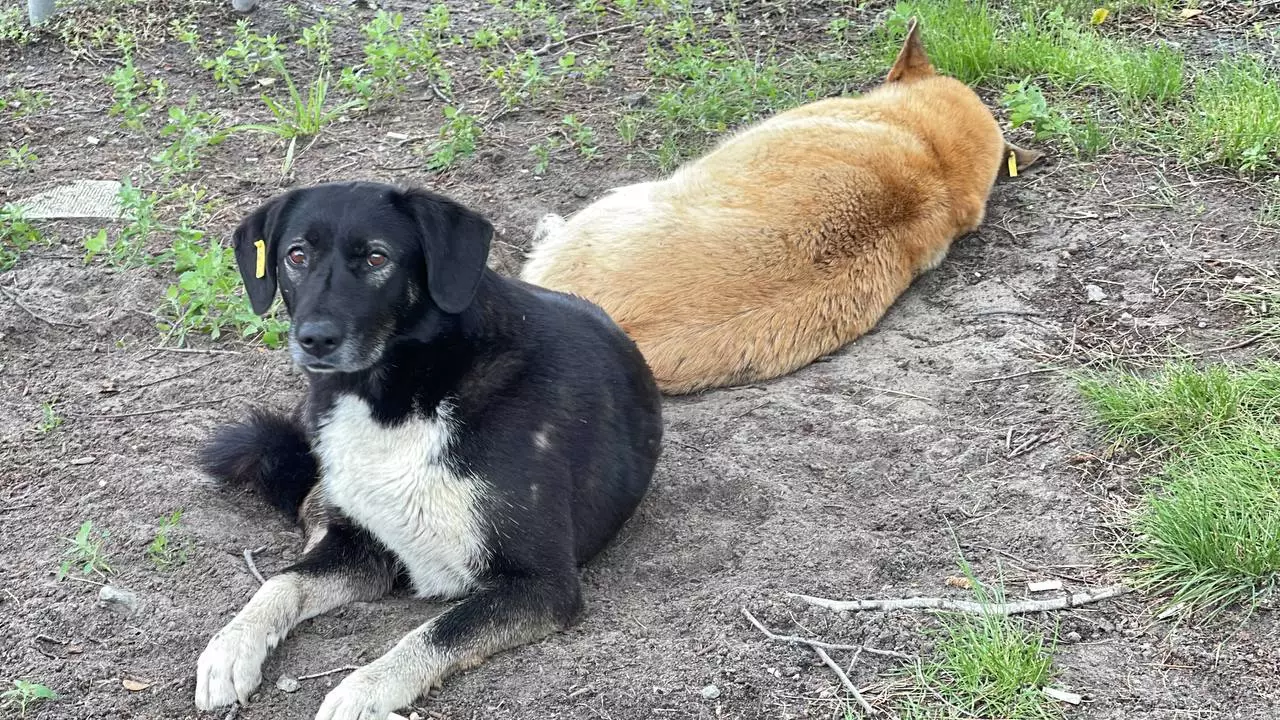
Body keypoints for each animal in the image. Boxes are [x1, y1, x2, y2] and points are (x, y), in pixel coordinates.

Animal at [194, 180, 665, 717]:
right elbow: (282, 582)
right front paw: (231, 646)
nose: (314, 339)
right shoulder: (363, 547)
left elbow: (435, 633)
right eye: (296, 255)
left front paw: (363, 690)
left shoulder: (543, 583)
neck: (402, 399)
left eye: (377, 258)